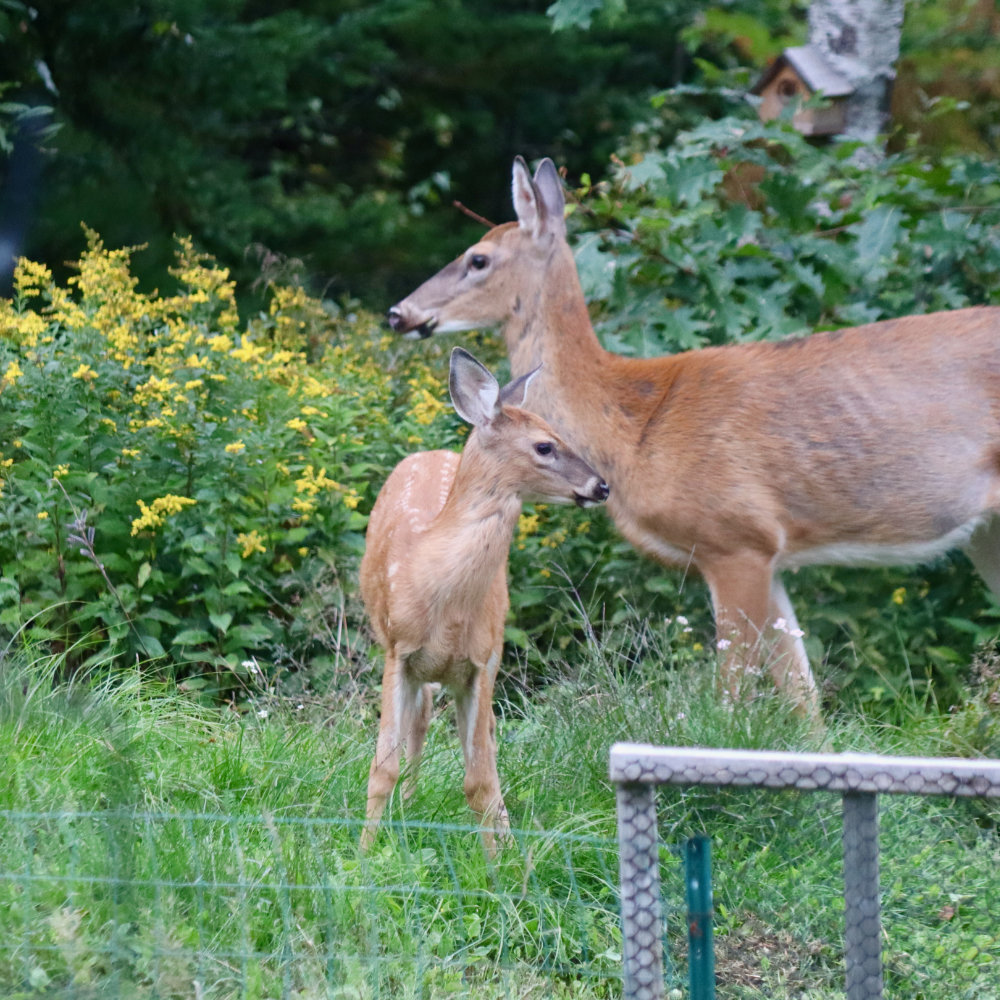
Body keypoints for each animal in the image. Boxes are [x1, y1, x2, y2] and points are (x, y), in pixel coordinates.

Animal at [360, 346, 608, 852]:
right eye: (545, 446)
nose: (602, 486)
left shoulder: (481, 661)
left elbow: (479, 779)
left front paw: (499, 862)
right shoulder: (398, 649)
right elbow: (382, 768)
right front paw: (364, 852)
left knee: (483, 740)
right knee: (421, 719)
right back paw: (408, 806)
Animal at [386, 154, 1000, 720]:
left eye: (478, 259)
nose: (398, 312)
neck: (632, 423)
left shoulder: (736, 536)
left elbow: (732, 695)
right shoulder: (769, 551)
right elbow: (804, 700)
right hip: (983, 533)